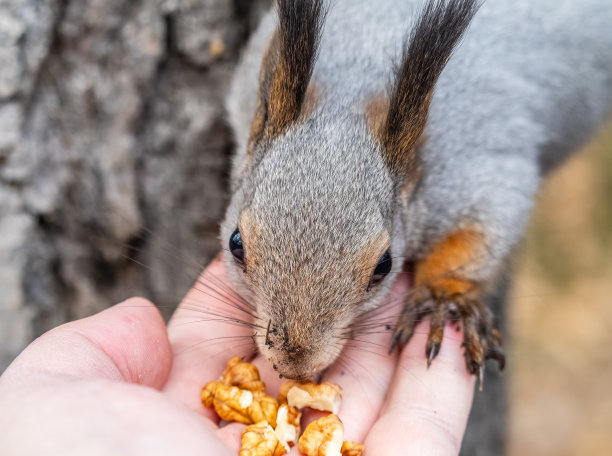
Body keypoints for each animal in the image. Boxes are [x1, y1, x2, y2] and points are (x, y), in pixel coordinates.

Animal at [219, 0, 612, 382]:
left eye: (384, 266)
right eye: (235, 244)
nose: (294, 364)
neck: (354, 93)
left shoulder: (478, 171)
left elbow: (483, 230)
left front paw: (445, 296)